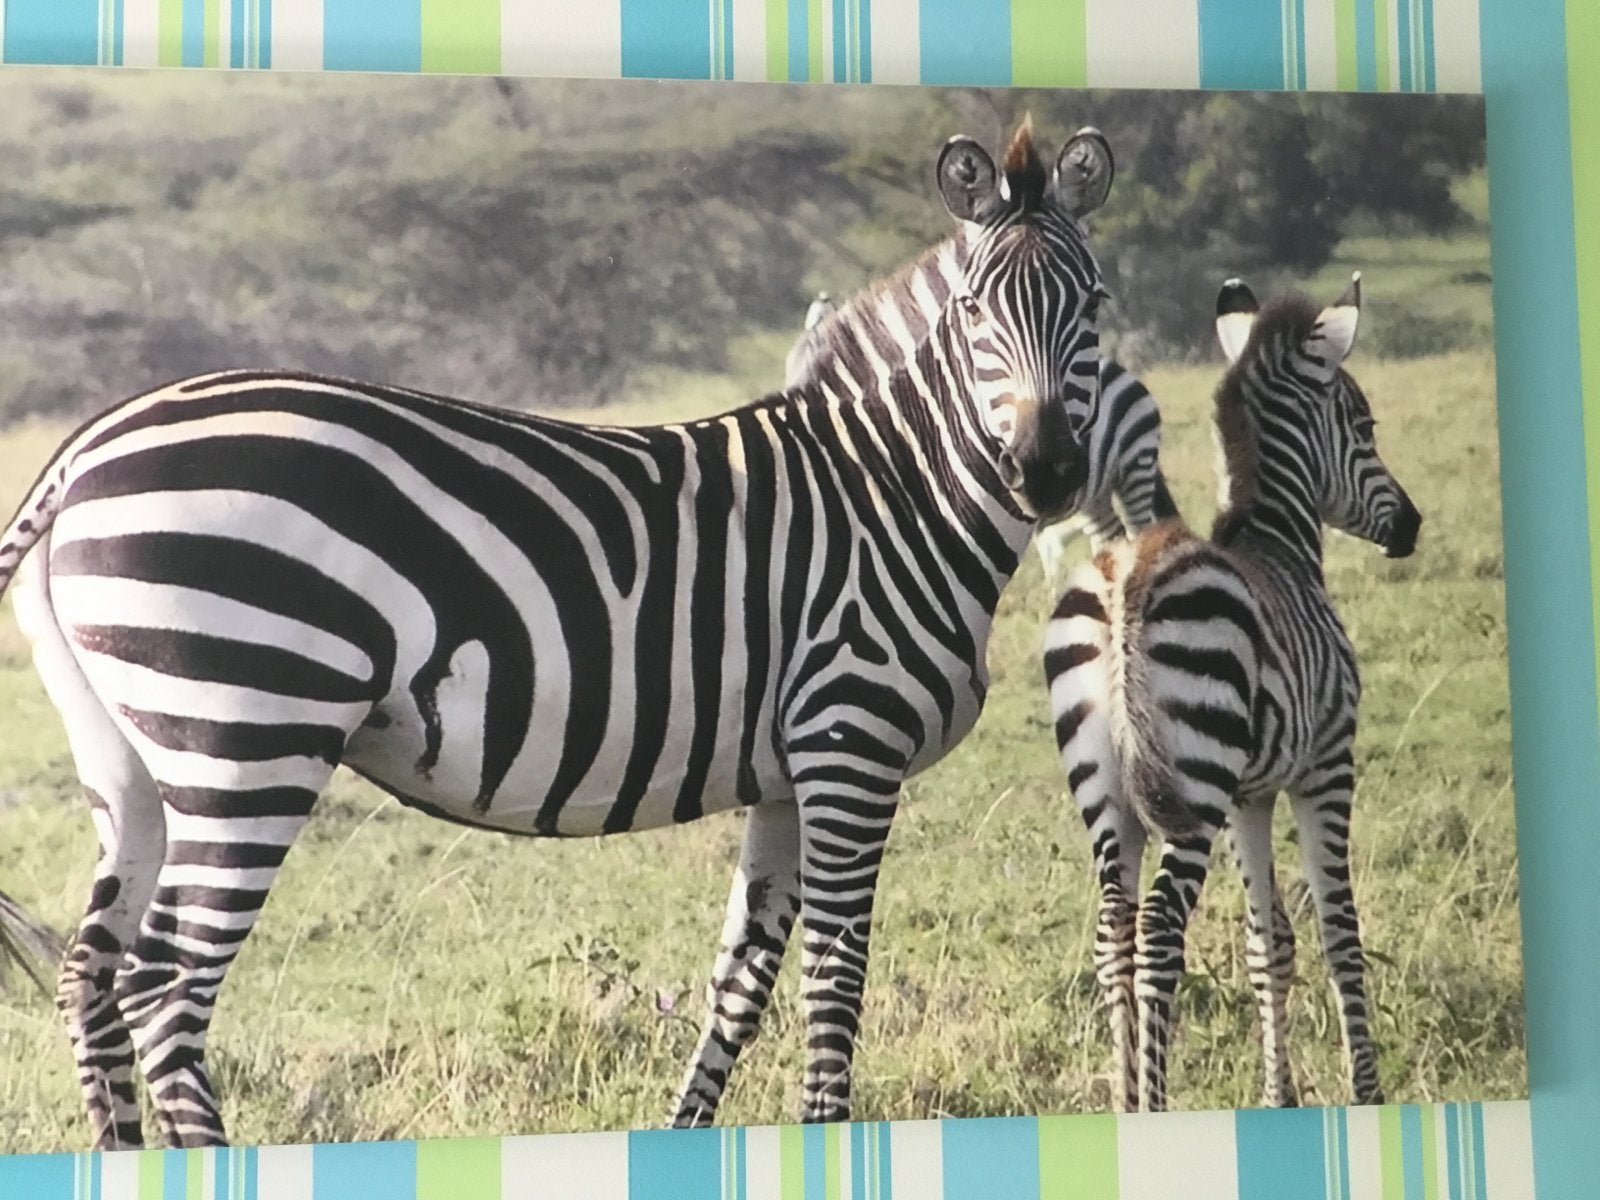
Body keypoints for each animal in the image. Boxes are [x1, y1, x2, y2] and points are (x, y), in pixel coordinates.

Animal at [0, 119, 1115, 1149]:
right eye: (973, 311)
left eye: (1096, 305)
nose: (1049, 472)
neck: (892, 492)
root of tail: (88, 446)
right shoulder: (852, 740)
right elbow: (835, 979)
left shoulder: (788, 773)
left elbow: (741, 978)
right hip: (250, 732)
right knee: (165, 988)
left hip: (132, 757)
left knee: (91, 972)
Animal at [1041, 273, 1420, 1114]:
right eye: (1365, 425)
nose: (1412, 527)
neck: (1279, 544)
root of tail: (1126, 577)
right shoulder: (1325, 766)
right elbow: (1339, 933)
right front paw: (1365, 1092)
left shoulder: (1252, 792)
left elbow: (1267, 941)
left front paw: (1281, 1096)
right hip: (1194, 781)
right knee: (1157, 934)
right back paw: (1152, 1107)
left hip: (1106, 785)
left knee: (1115, 932)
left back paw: (1124, 1102)